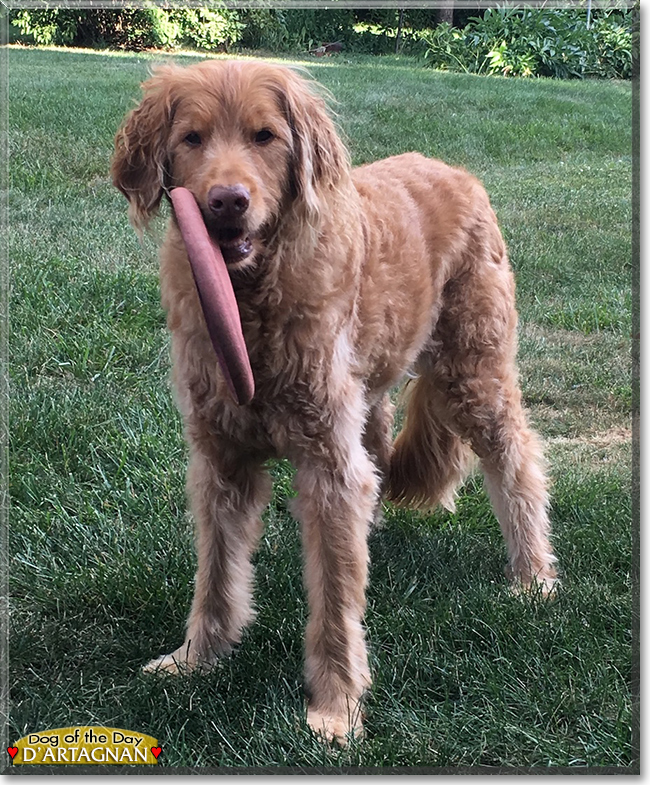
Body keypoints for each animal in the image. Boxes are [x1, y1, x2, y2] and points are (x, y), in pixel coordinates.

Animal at [111, 58, 556, 744]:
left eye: (265, 137)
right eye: (191, 139)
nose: (227, 201)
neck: (253, 302)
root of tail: (458, 171)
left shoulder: (328, 468)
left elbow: (334, 600)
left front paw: (335, 707)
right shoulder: (221, 460)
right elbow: (216, 576)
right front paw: (196, 659)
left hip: (473, 375)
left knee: (518, 459)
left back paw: (533, 574)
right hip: (370, 396)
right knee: (382, 444)